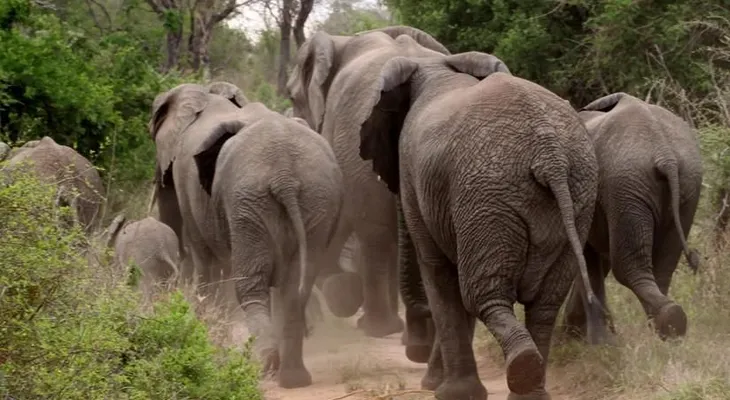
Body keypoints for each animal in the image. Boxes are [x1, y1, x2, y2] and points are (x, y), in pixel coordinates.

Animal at [149, 82, 345, 388]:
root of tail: (285, 177)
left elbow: (207, 265)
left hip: (248, 203)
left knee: (251, 285)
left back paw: (264, 366)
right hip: (315, 200)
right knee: (294, 289)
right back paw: (293, 378)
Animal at [354, 52, 602, 400]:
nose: (415, 350)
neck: (436, 67)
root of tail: (550, 153)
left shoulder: (415, 175)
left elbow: (439, 275)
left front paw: (448, 392)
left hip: (488, 198)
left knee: (482, 294)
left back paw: (520, 371)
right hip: (576, 195)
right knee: (544, 303)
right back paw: (529, 388)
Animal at [562, 92, 703, 342]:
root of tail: (665, 154)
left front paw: (596, 343)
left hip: (626, 184)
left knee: (627, 267)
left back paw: (665, 325)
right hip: (684, 186)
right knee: (664, 265)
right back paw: (666, 329)